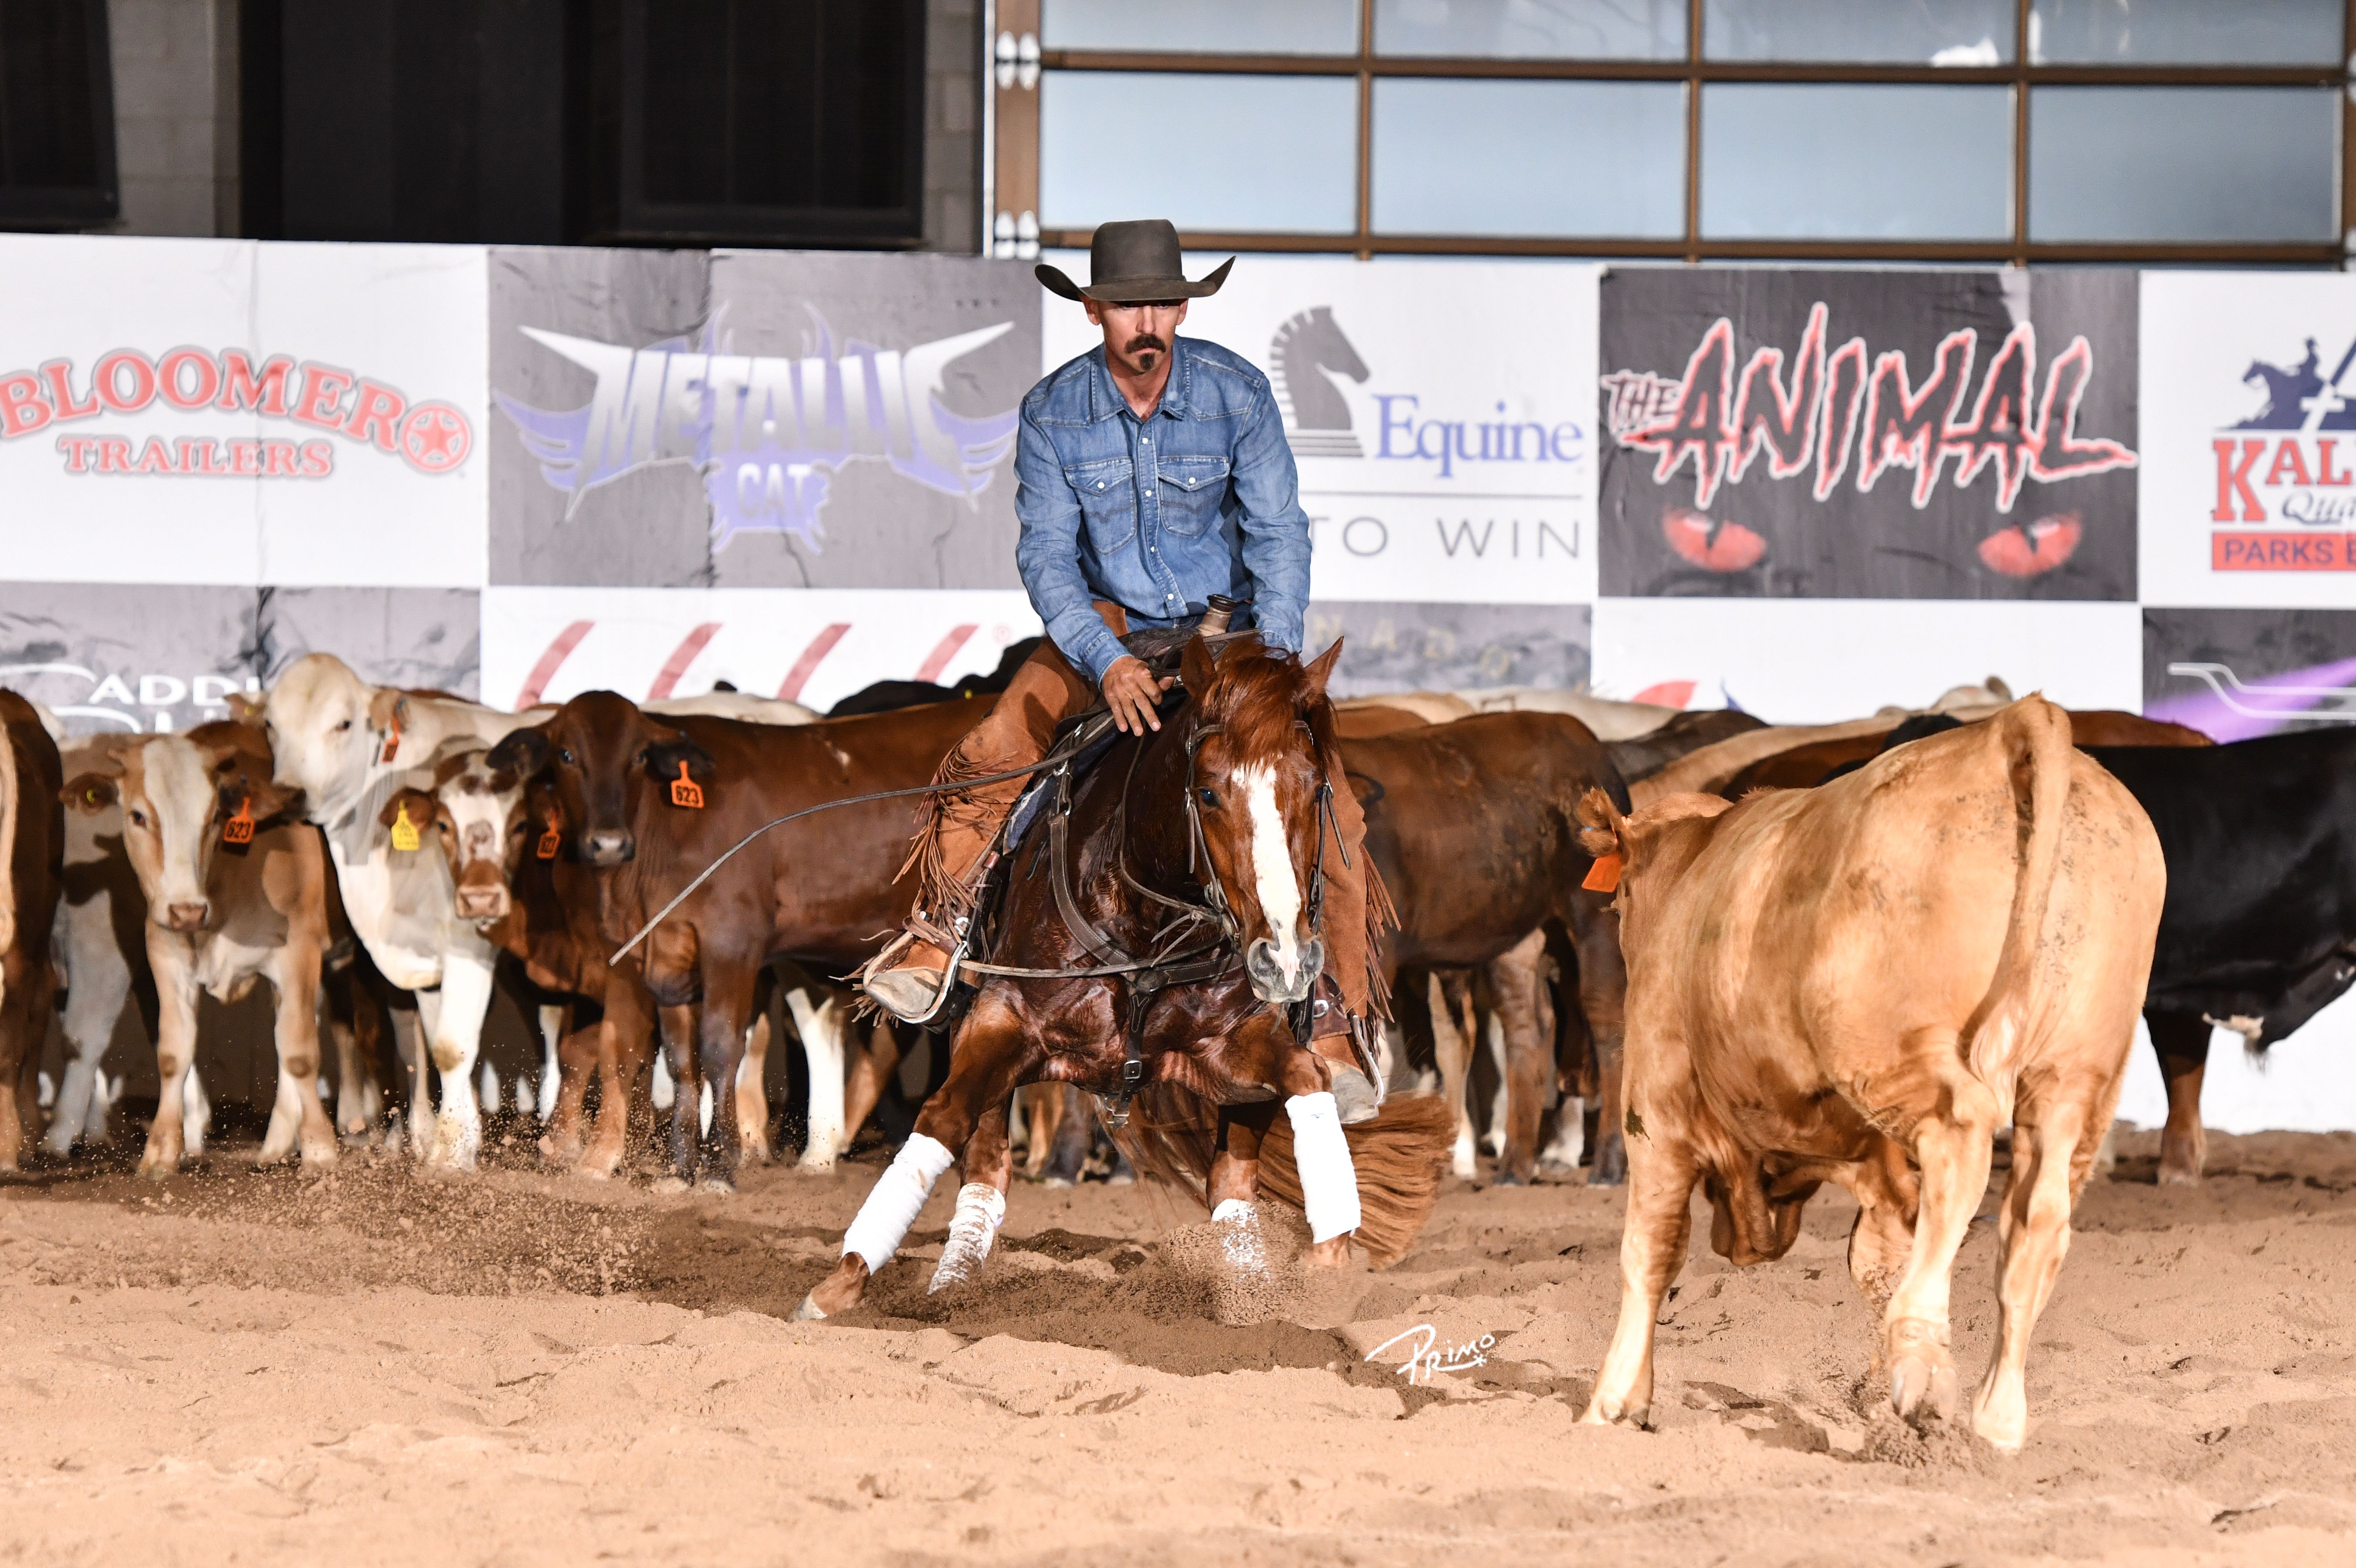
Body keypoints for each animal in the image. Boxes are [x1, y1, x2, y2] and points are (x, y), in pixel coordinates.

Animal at [63, 722, 344, 1177]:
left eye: (215, 817)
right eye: (138, 816)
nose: (187, 910)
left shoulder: (299, 952)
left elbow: (300, 1053)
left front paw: (321, 1150)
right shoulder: (165, 952)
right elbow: (173, 1053)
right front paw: (160, 1152)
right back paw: (275, 1146)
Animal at [795, 635, 1450, 1318]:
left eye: (1315, 787)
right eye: (1208, 793)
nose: (1283, 957)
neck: (1142, 930)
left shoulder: (1230, 1046)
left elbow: (1303, 1079)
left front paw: (1325, 1262)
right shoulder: (1000, 1020)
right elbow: (945, 1119)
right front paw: (838, 1285)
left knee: (1232, 1177)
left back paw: (1250, 1289)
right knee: (986, 1163)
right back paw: (954, 1280)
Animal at [1574, 698, 2164, 1450]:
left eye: (1618, 901)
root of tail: (2011, 724)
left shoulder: (1655, 1103)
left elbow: (1649, 1250)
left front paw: (1613, 1401)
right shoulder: (1874, 1161)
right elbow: (1877, 1254)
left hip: (1896, 1059)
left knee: (1961, 1139)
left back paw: (1922, 1365)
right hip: (2074, 1077)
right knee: (2037, 1219)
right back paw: (1994, 1417)